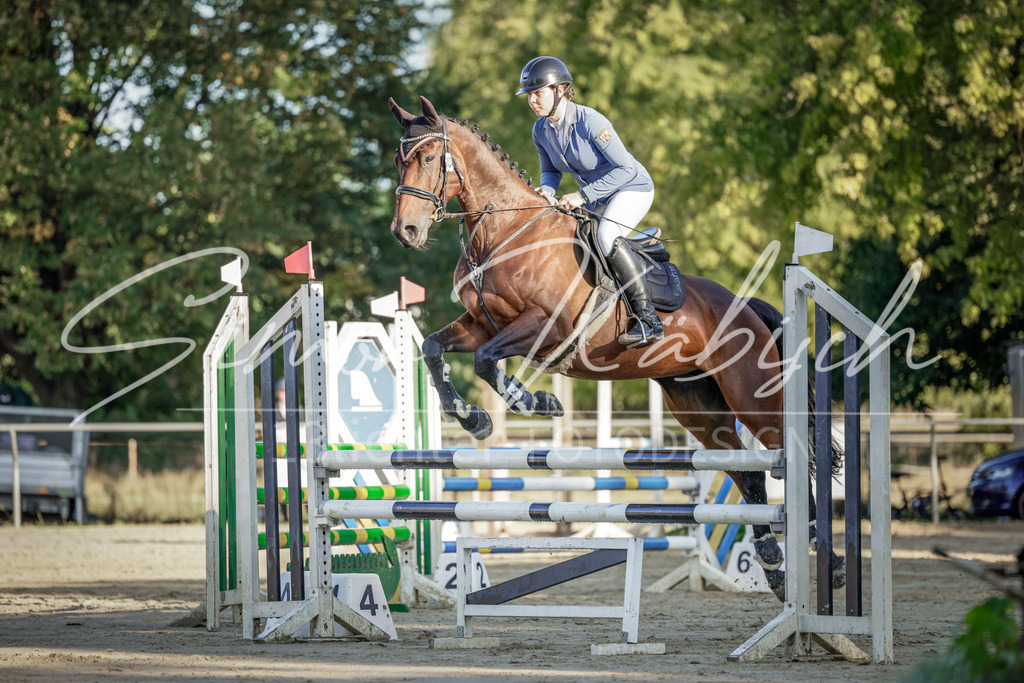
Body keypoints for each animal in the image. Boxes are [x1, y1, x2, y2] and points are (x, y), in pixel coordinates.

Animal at [386, 95, 845, 599]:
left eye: (430, 157)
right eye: (398, 160)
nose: (405, 231)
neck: (505, 233)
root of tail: (745, 307)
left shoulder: (545, 326)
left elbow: (488, 364)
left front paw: (536, 402)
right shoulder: (481, 325)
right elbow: (433, 348)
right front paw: (474, 418)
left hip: (751, 394)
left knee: (789, 452)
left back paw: (824, 555)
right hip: (695, 401)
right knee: (746, 469)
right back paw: (773, 565)